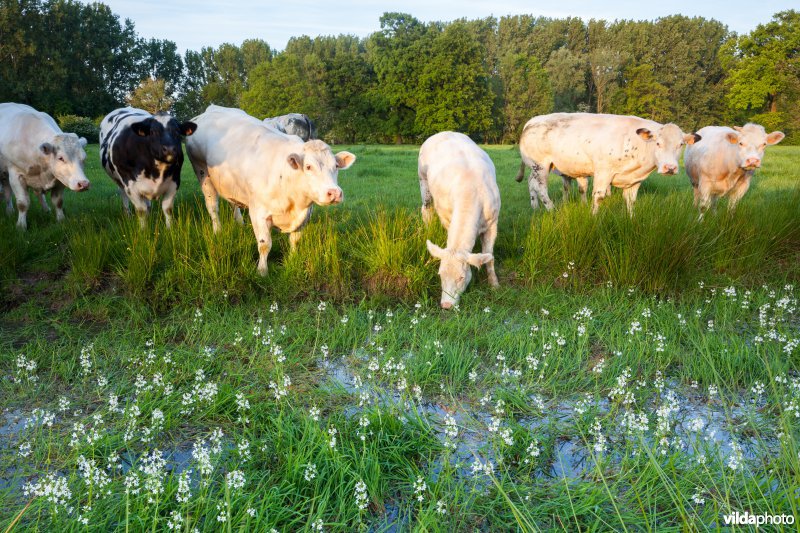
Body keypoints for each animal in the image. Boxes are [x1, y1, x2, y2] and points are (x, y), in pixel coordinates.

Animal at [188, 106, 356, 276]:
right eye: (308, 166)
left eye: (336, 166)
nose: (334, 193)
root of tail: (211, 109)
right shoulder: (258, 213)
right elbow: (264, 244)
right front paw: (262, 271)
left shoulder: (305, 215)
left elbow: (295, 240)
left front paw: (292, 260)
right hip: (202, 171)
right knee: (212, 207)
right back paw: (218, 231)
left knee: (233, 203)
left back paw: (239, 223)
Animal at [418, 130, 500, 310]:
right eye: (440, 274)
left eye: (461, 277)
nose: (446, 305)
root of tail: (444, 132)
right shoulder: (447, 218)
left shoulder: (492, 223)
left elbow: (489, 256)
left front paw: (494, 284)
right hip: (422, 179)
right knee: (426, 209)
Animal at [516, 112, 696, 214]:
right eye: (658, 143)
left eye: (681, 144)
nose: (670, 168)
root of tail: (532, 121)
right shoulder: (603, 171)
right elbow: (598, 197)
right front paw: (594, 218)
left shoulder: (635, 180)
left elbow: (631, 201)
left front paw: (631, 219)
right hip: (540, 165)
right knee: (540, 188)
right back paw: (552, 210)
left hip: (538, 168)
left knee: (531, 183)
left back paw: (535, 208)